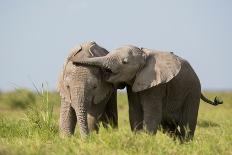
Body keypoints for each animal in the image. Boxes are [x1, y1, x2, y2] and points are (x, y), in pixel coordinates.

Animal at [70, 44, 223, 140]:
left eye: (124, 62)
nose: (73, 61)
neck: (144, 55)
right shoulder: (134, 84)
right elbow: (135, 114)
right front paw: (139, 141)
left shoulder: (156, 85)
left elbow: (151, 115)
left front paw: (146, 143)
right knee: (169, 128)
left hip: (193, 91)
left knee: (187, 125)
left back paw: (187, 145)